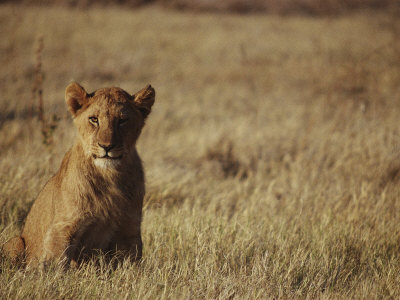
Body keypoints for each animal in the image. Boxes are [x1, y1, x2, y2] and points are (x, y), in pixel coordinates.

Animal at [1, 82, 155, 268]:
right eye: (94, 119)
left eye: (122, 120)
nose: (107, 146)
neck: (109, 176)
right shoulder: (62, 227)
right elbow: (55, 263)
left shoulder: (129, 229)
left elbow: (130, 264)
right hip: (15, 242)